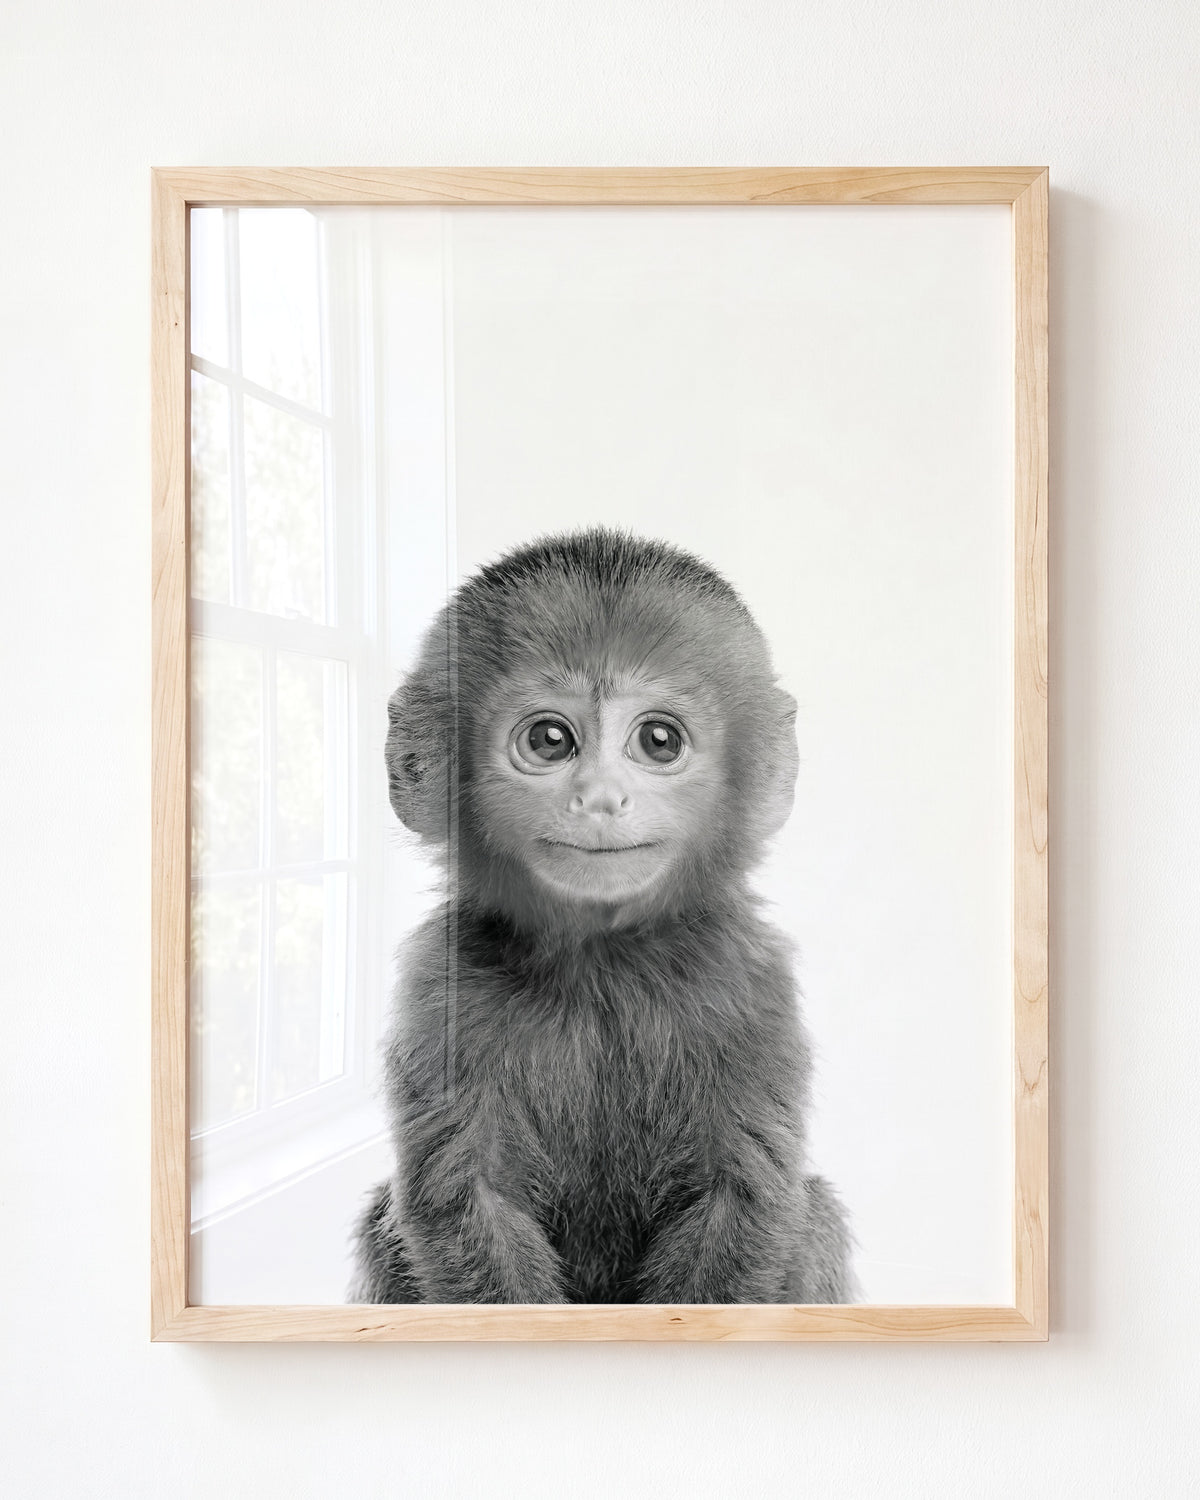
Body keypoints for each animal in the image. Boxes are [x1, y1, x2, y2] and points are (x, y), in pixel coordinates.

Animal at [350, 527, 856, 1304]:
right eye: (550, 741)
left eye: (658, 741)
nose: (600, 798)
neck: (601, 962)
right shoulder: (440, 984)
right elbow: (468, 1202)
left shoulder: (752, 981)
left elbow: (739, 1200)